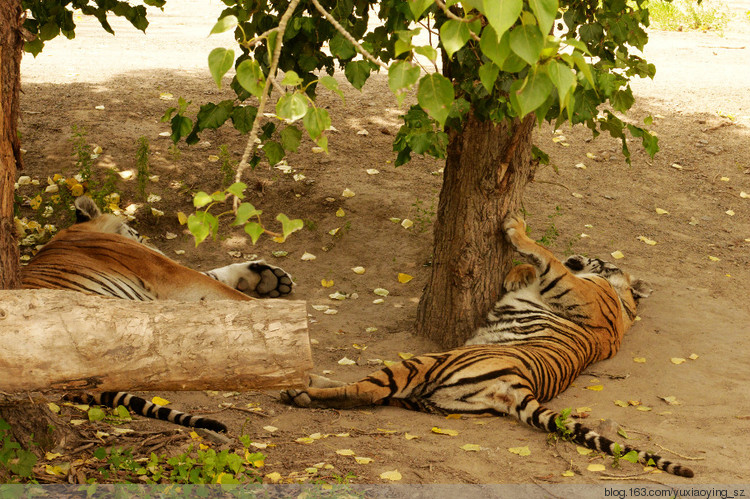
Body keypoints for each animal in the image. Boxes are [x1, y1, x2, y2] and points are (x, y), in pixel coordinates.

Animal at [19, 196, 292, 434]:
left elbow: (213, 276)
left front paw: (268, 277)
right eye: (139, 234)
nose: (157, 247)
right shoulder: (168, 273)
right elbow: (223, 290)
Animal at [284, 215, 700, 480]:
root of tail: (516, 389)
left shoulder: (571, 287)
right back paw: (307, 382)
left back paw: (299, 394)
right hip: (427, 398)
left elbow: (546, 256)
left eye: (599, 256)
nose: (582, 252)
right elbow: (535, 268)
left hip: (427, 362)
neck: (624, 304)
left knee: (366, 392)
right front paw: (515, 273)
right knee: (371, 391)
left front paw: (516, 227)